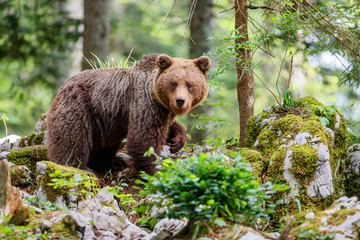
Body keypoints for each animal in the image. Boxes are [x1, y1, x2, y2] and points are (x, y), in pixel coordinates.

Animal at [47, 54, 211, 174]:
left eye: (189, 84)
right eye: (174, 83)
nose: (180, 100)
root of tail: (63, 86)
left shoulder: (162, 111)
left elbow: (168, 127)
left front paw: (177, 141)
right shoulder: (145, 103)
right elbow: (144, 138)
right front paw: (155, 169)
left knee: (103, 150)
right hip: (80, 106)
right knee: (72, 141)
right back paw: (70, 165)